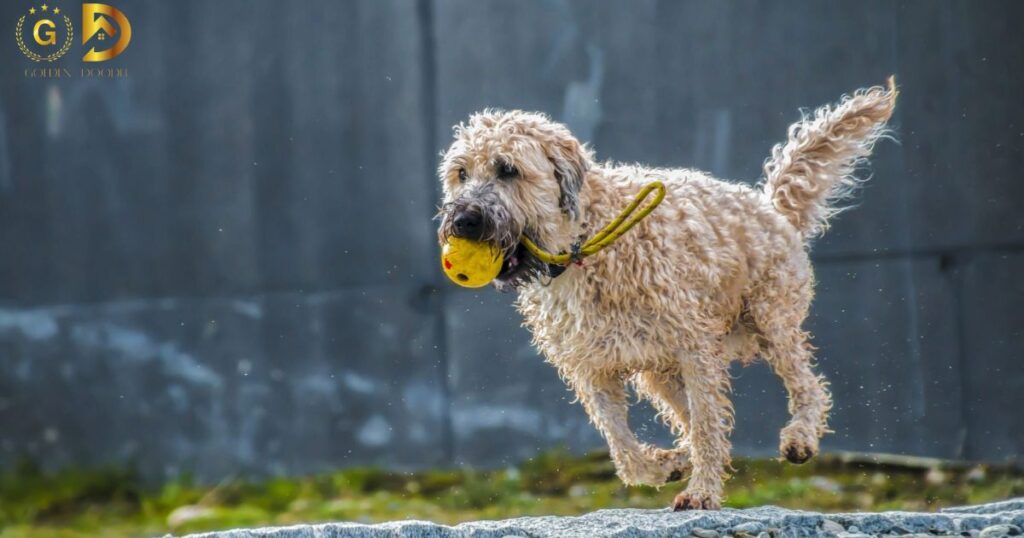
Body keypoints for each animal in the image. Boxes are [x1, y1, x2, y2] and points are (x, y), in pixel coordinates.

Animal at [436, 78, 901, 508]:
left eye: (507, 169)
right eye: (461, 173)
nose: (463, 221)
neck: (585, 244)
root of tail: (771, 209)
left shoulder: (695, 349)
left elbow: (708, 425)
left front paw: (701, 492)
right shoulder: (592, 368)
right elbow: (623, 446)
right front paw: (665, 466)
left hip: (771, 320)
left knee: (807, 386)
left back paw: (800, 438)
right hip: (660, 372)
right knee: (694, 415)